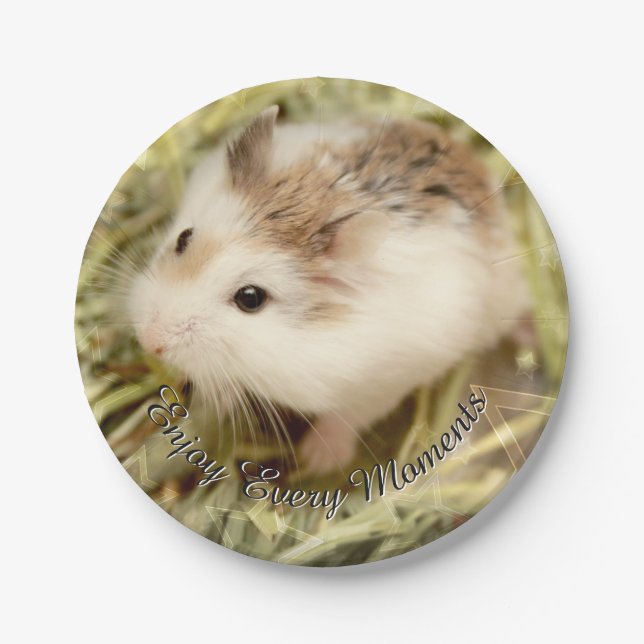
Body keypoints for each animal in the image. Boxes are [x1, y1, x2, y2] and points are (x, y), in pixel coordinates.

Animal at [129, 105, 528, 474]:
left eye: (250, 299)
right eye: (183, 238)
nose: (149, 341)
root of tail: (468, 157)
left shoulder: (383, 383)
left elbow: (345, 419)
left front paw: (315, 461)